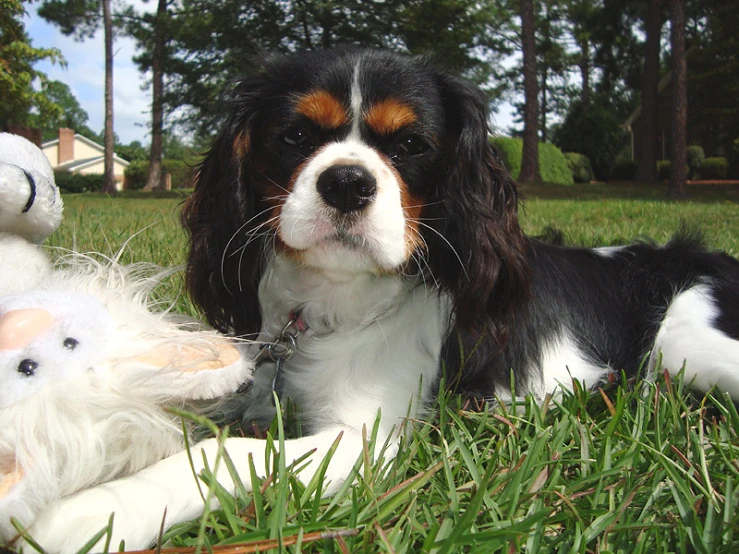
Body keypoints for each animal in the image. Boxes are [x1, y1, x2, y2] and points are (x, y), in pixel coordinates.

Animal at [17, 49, 739, 548]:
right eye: (295, 136)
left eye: (412, 145)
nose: (346, 182)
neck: (330, 307)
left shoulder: (364, 439)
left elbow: (226, 453)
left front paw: (92, 510)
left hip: (687, 342)